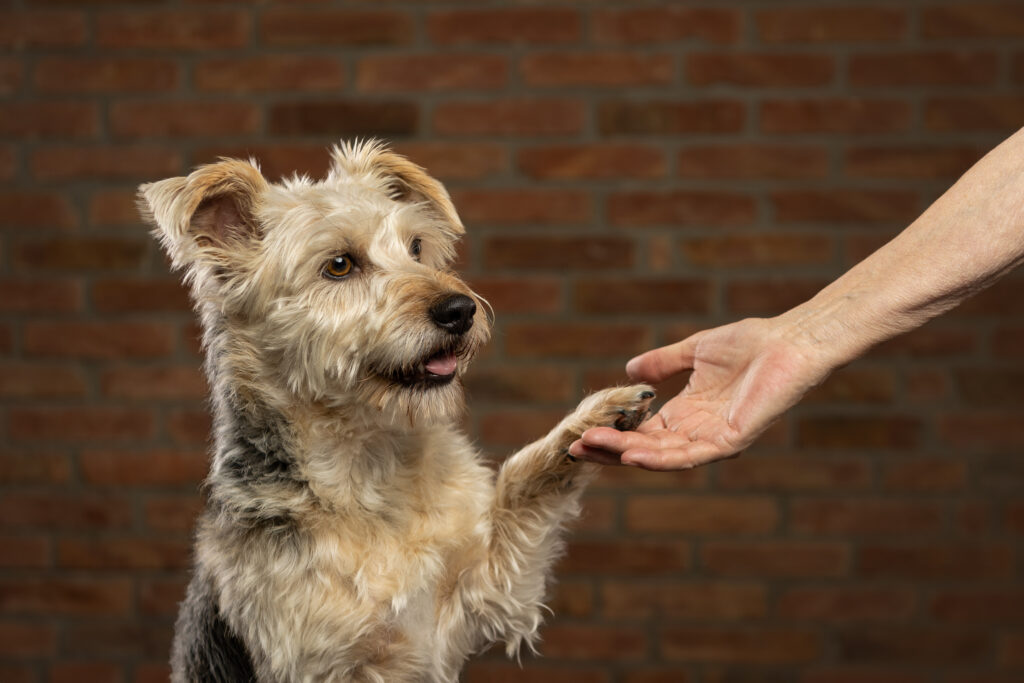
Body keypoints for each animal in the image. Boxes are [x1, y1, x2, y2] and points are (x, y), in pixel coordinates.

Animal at [138, 140, 655, 683]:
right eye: (339, 265)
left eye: (416, 248)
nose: (460, 310)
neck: (373, 465)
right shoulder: (320, 660)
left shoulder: (489, 593)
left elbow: (522, 481)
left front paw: (593, 419)